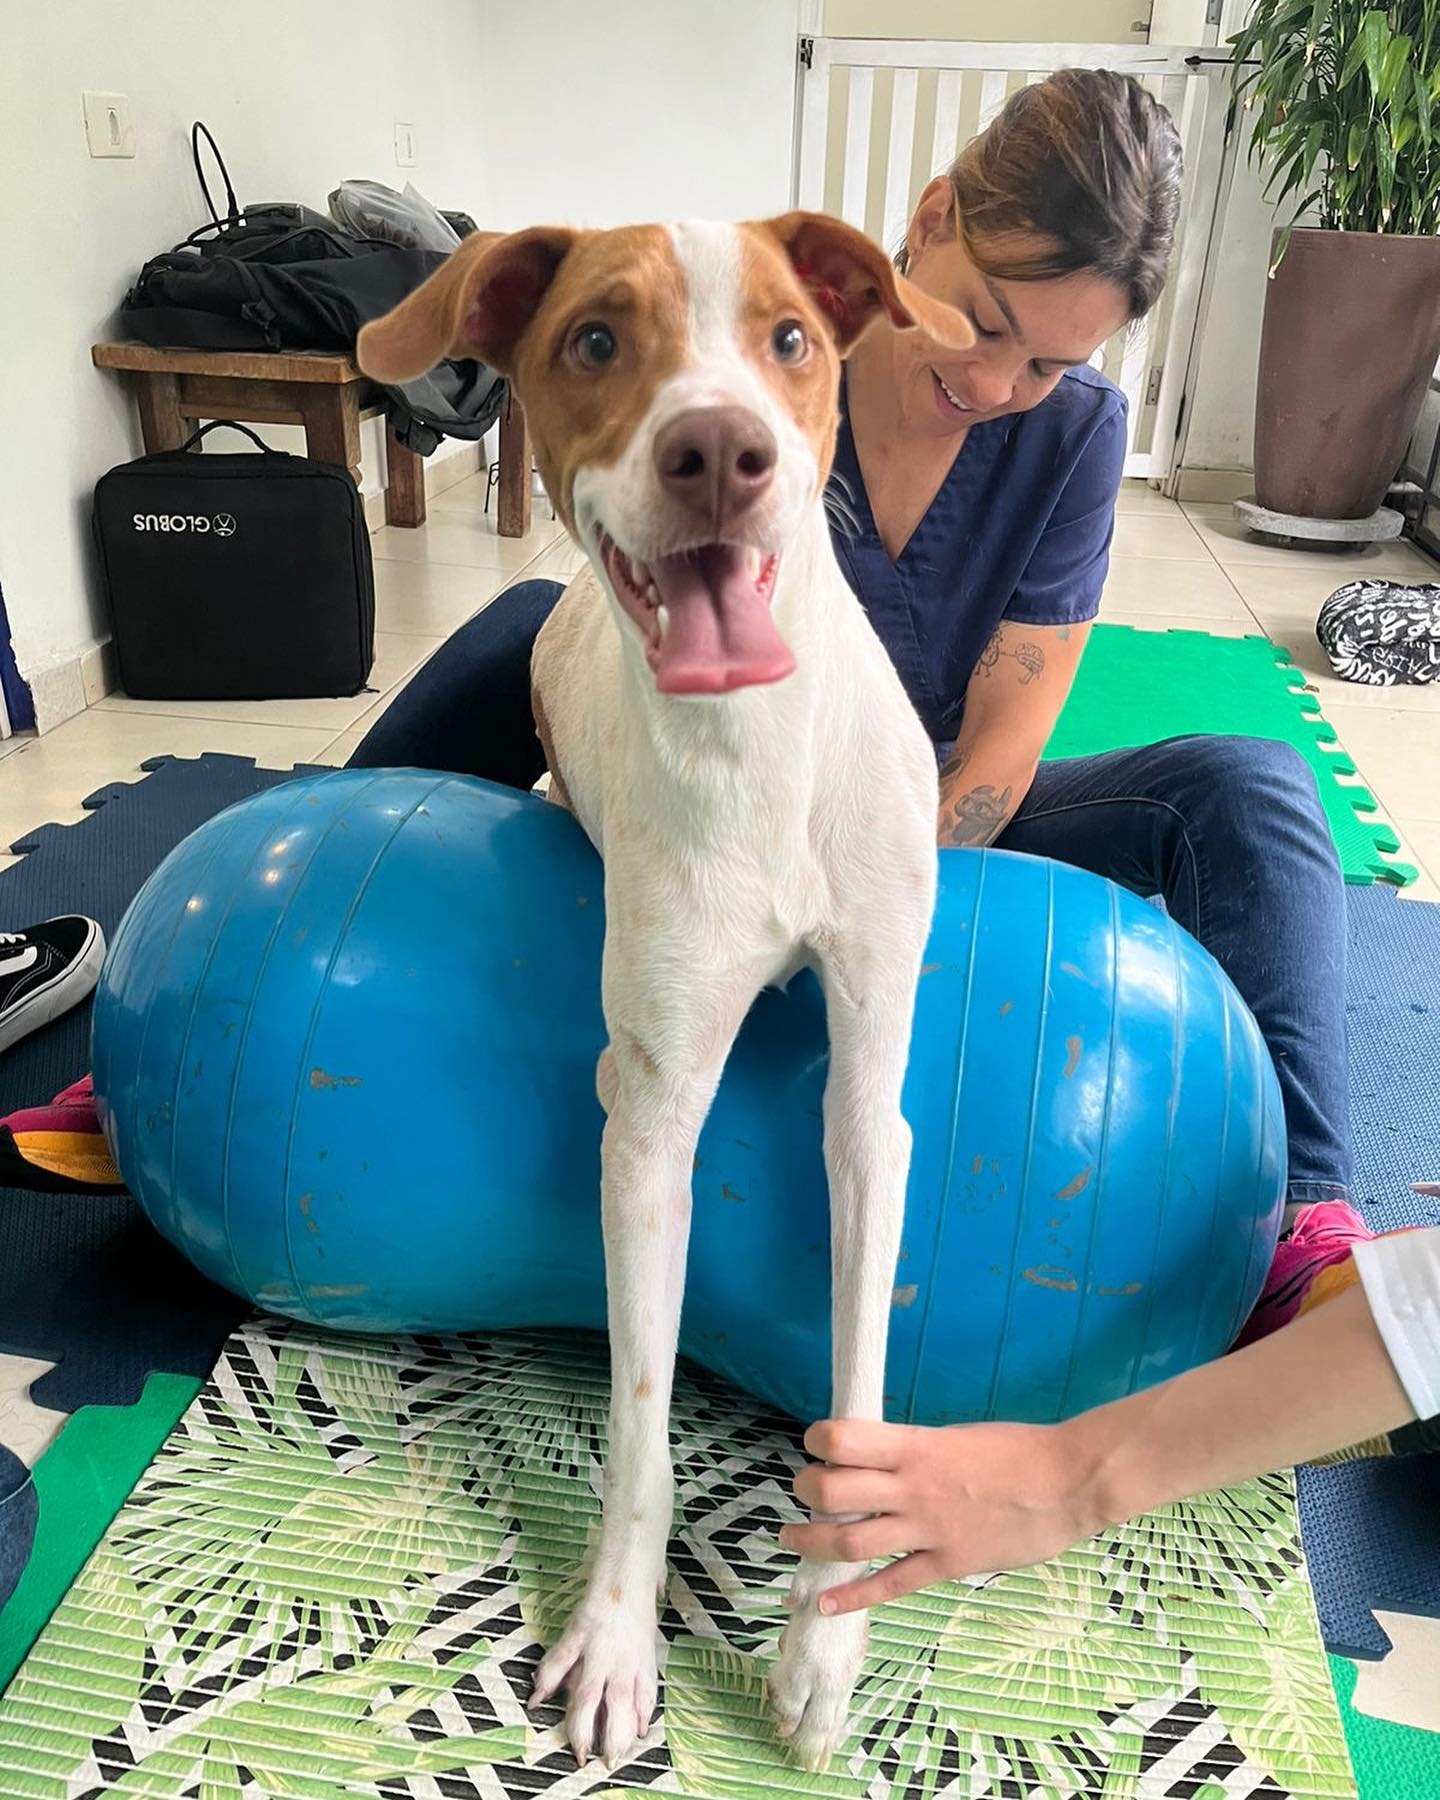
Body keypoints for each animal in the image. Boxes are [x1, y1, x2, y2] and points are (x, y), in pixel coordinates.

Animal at [356, 214, 972, 1771]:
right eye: (593, 341)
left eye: (792, 340)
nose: (718, 451)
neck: (752, 744)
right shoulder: (647, 1122)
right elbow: (640, 1414)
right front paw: (622, 1634)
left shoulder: (872, 1093)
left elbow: (859, 1372)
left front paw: (822, 1647)